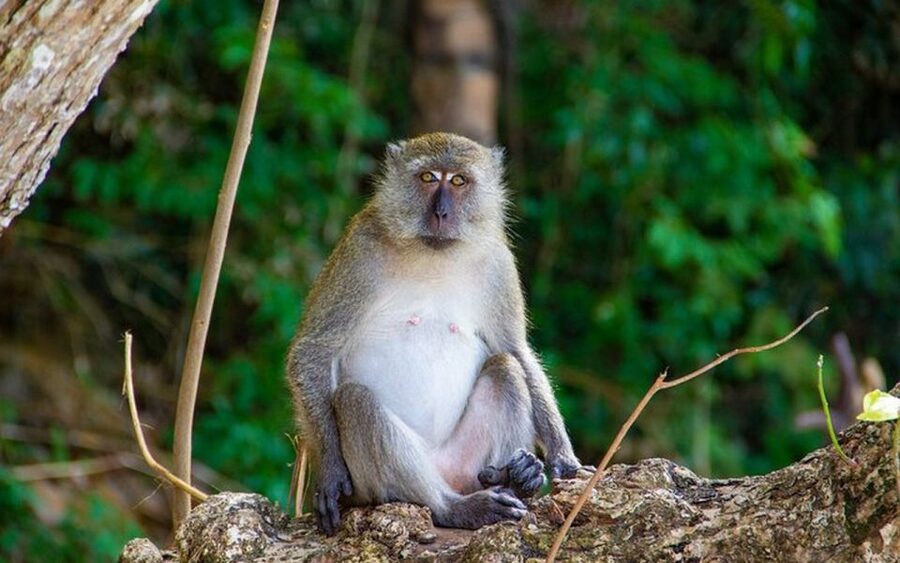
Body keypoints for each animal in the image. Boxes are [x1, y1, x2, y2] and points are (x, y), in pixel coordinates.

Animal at [286, 132, 588, 535]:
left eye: (458, 181)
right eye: (428, 177)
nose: (441, 213)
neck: (433, 251)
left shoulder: (498, 261)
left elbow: (515, 350)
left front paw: (563, 459)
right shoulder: (359, 252)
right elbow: (314, 351)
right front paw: (331, 474)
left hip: (465, 463)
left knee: (505, 370)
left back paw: (513, 478)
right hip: (381, 485)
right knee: (354, 400)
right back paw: (453, 508)